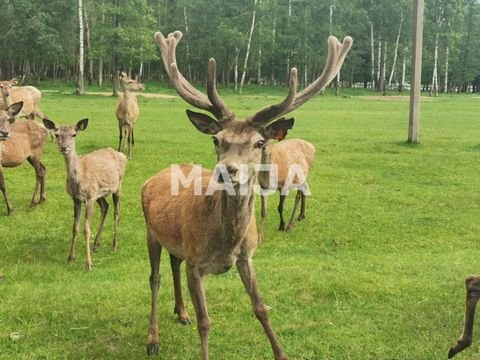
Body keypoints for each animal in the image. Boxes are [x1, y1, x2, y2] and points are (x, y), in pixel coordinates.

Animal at [42, 117, 127, 270]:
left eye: (74, 134)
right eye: (57, 134)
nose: (64, 147)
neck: (79, 180)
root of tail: (123, 155)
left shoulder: (89, 197)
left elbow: (86, 229)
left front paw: (89, 264)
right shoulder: (77, 199)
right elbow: (75, 228)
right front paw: (70, 258)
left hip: (118, 186)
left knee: (117, 213)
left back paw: (114, 245)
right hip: (99, 194)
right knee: (105, 207)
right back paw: (96, 245)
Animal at [142, 30, 352, 360]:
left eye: (259, 142)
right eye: (217, 139)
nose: (226, 170)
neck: (225, 241)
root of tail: (152, 178)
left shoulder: (246, 256)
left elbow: (260, 308)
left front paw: (281, 353)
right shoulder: (195, 263)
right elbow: (206, 322)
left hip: (174, 241)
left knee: (172, 265)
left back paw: (181, 312)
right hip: (150, 230)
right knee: (155, 278)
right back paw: (153, 338)